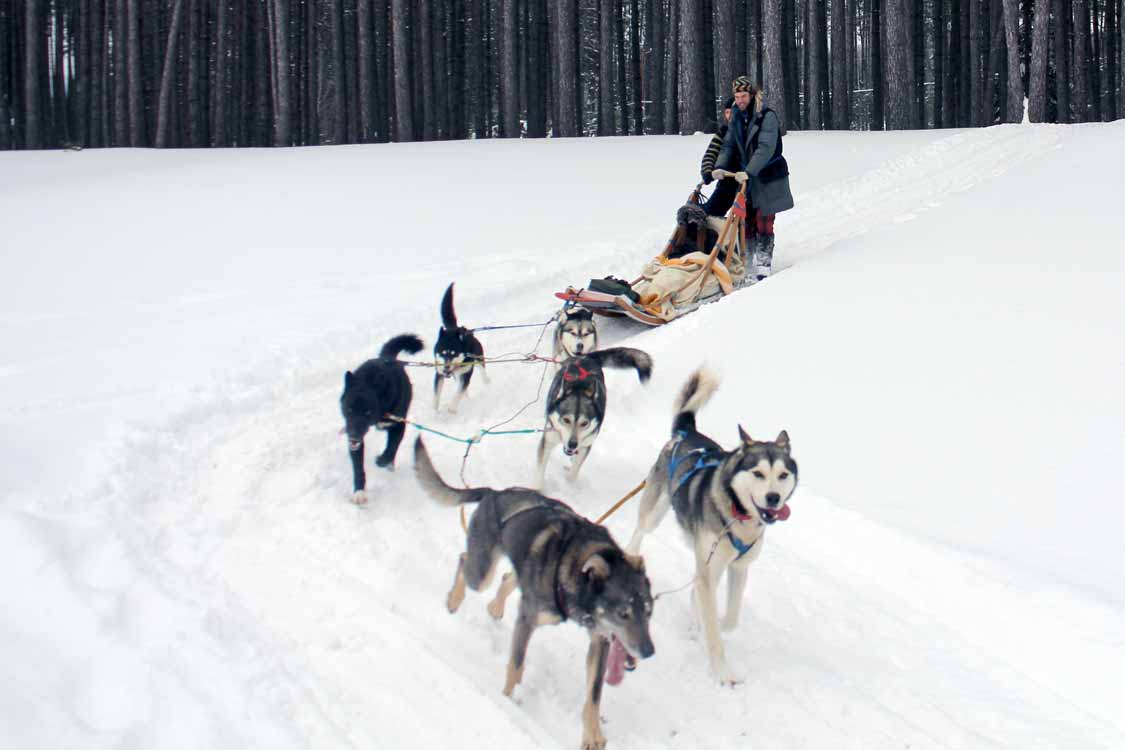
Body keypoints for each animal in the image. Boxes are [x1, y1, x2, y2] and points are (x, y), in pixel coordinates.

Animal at [339, 335, 423, 503]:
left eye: (367, 412)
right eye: (349, 410)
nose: (352, 436)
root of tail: (387, 358)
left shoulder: (399, 426)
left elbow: (391, 448)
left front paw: (382, 460)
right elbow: (358, 468)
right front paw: (359, 492)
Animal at [432, 281, 486, 413]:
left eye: (454, 353)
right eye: (442, 353)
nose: (446, 368)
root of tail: (454, 328)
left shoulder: (466, 374)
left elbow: (459, 392)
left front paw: (452, 408)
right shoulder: (439, 373)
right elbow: (436, 396)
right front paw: (434, 411)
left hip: (479, 357)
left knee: (483, 371)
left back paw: (488, 383)